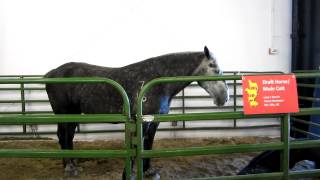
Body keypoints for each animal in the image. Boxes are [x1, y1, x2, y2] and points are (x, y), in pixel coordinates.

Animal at [45, 46, 229, 179]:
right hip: (64, 113)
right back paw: (69, 167)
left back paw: (73, 165)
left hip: (73, 113)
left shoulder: (153, 121)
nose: (224, 97)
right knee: (63, 135)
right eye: (213, 67)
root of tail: (51, 73)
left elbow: (148, 144)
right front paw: (128, 175)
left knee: (68, 136)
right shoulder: (142, 121)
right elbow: (138, 145)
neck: (156, 81)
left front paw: (149, 171)